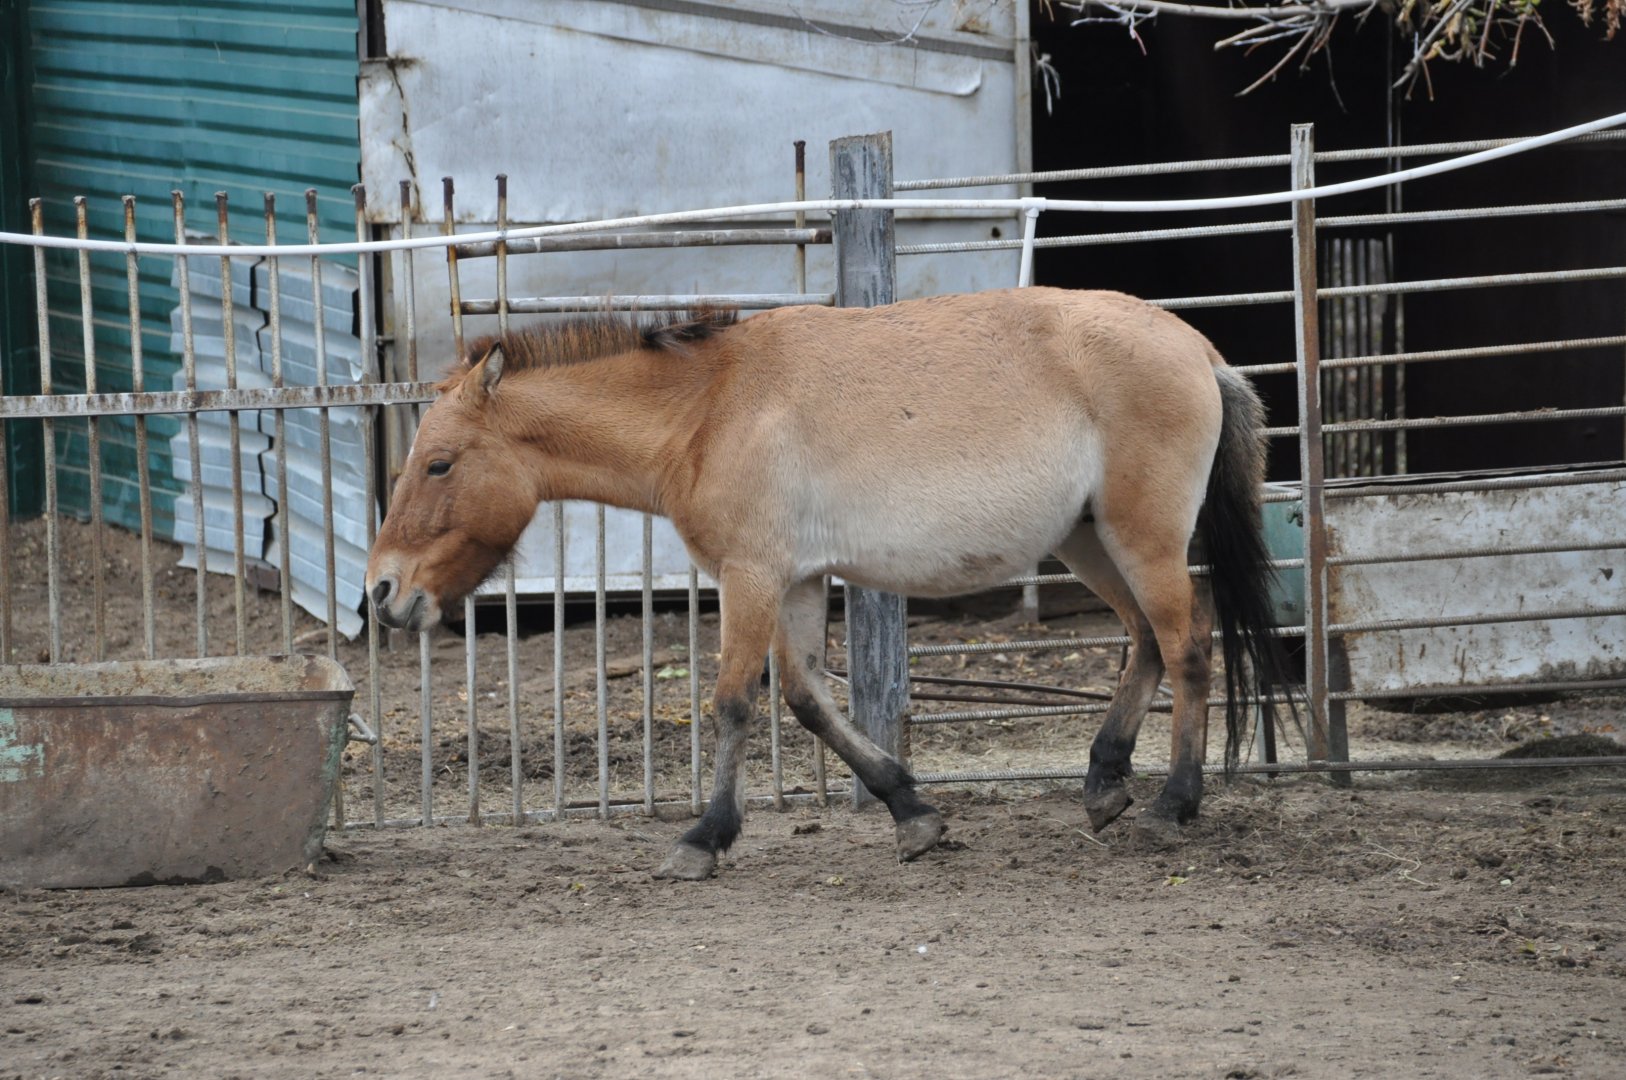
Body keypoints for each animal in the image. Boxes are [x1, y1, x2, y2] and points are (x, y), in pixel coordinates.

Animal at [366, 287, 1287, 879]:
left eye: (439, 463)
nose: (381, 592)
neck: (709, 409)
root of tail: (1198, 350)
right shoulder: (797, 582)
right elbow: (808, 700)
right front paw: (911, 813)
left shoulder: (750, 577)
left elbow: (735, 701)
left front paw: (703, 839)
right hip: (1089, 542)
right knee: (1144, 642)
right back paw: (1103, 786)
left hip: (1143, 539)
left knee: (1187, 644)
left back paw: (1172, 804)